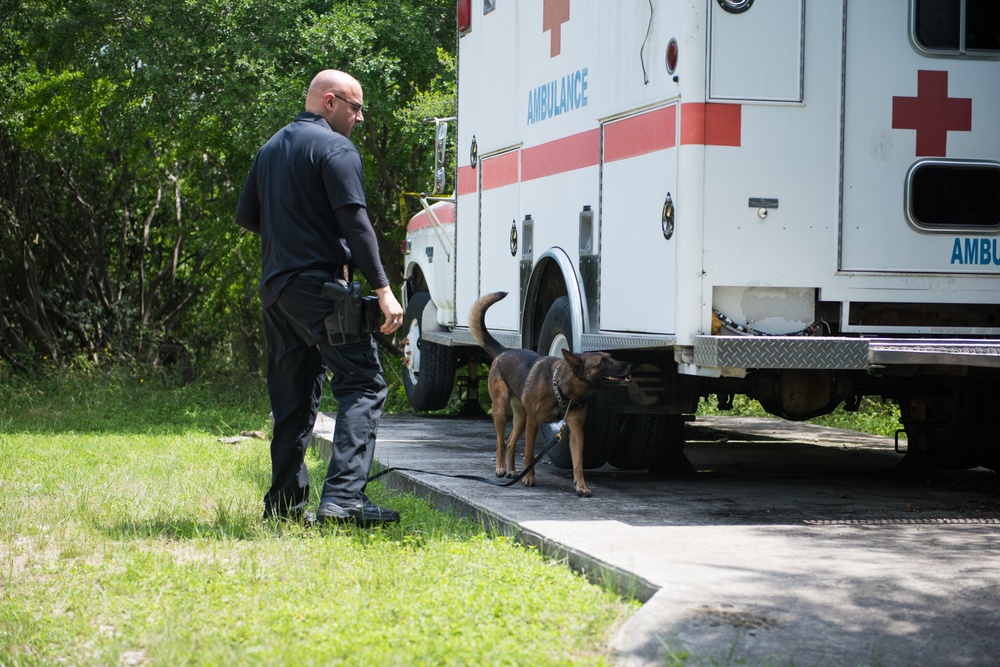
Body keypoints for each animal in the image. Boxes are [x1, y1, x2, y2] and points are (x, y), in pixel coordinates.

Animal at [470, 292, 632, 496]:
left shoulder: (576, 431)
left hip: (521, 419)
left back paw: (512, 471)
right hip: (501, 410)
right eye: (603, 362)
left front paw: (581, 486)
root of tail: (504, 351)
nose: (629, 364)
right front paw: (528, 478)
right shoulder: (533, 422)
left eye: (611, 357)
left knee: (510, 442)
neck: (563, 391)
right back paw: (501, 468)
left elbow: (578, 462)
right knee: (500, 441)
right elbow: (529, 453)